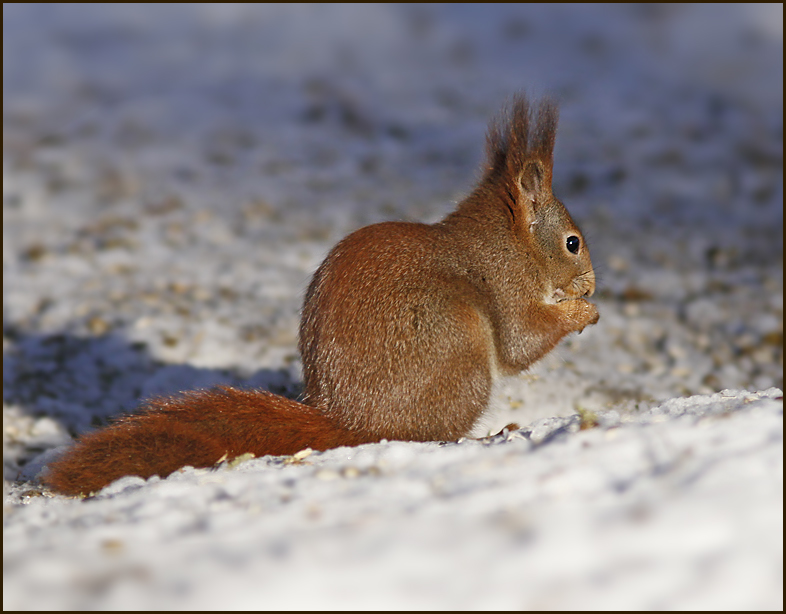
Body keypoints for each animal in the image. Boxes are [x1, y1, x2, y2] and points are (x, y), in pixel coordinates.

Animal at [44, 97, 596, 500]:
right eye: (573, 243)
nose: (592, 284)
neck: (508, 243)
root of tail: (354, 422)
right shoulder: (506, 284)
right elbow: (520, 341)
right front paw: (581, 312)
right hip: (457, 345)